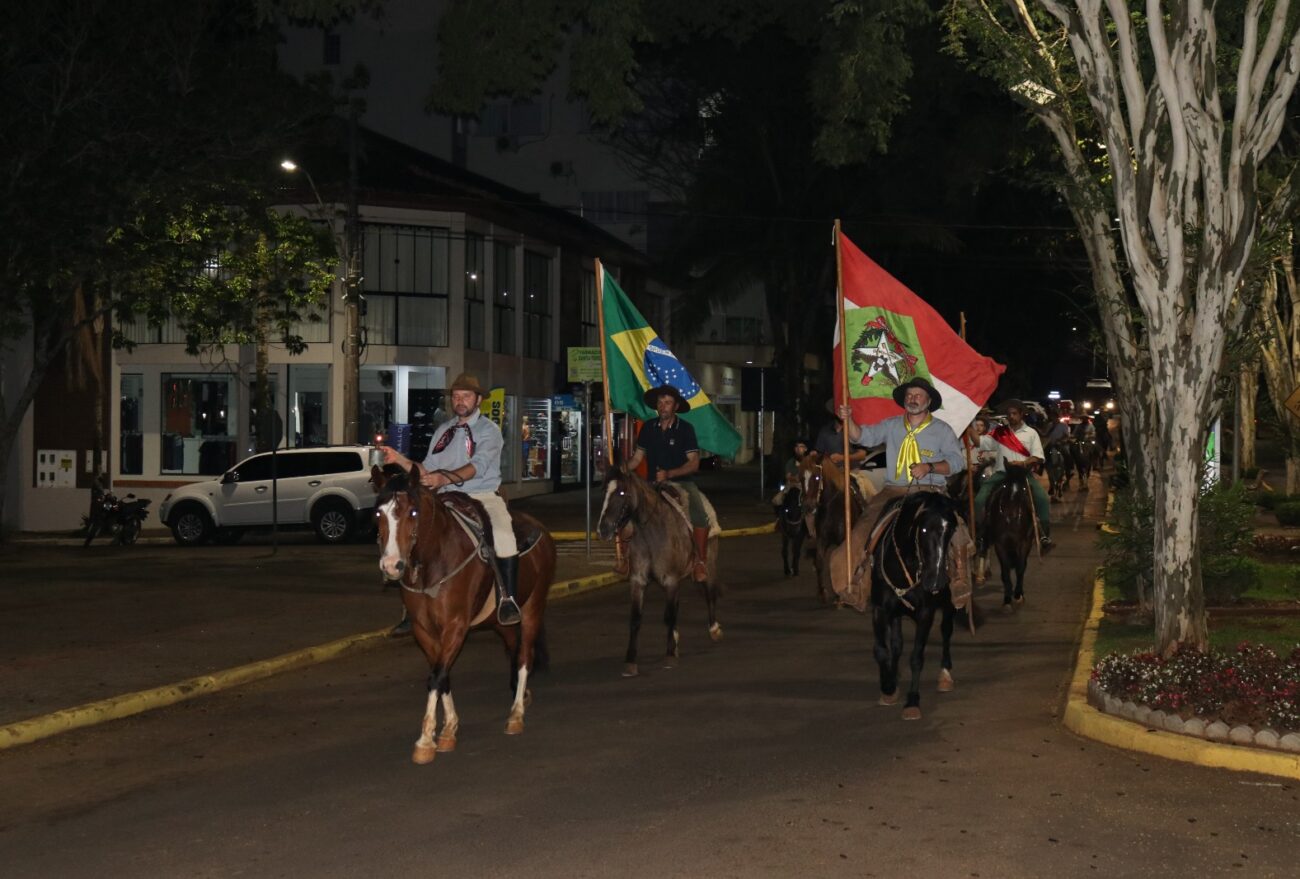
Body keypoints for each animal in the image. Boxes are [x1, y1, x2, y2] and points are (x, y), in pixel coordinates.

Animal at [369, 468, 556, 764]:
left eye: (412, 512)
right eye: (378, 513)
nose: (391, 566)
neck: (432, 563)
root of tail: (542, 530)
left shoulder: (456, 626)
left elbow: (436, 676)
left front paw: (425, 741)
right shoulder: (424, 630)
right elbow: (442, 675)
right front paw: (448, 729)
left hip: (533, 608)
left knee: (525, 656)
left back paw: (516, 715)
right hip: (500, 622)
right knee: (513, 647)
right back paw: (521, 693)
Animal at [595, 462, 722, 676]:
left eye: (621, 492)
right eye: (604, 490)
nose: (603, 529)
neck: (651, 533)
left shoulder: (670, 580)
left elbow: (669, 615)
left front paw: (669, 655)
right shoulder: (638, 581)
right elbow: (636, 619)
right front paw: (631, 661)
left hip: (709, 565)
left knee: (709, 593)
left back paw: (714, 629)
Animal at [800, 452, 863, 603]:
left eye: (817, 477)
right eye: (801, 478)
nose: (808, 506)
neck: (832, 506)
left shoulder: (844, 540)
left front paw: (840, 597)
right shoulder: (822, 539)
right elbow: (819, 561)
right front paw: (822, 592)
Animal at [868, 486, 961, 722]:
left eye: (951, 529)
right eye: (924, 529)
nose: (936, 580)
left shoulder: (925, 613)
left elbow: (916, 657)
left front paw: (912, 702)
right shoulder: (880, 609)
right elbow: (882, 649)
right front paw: (888, 686)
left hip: (948, 604)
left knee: (946, 630)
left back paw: (945, 674)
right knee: (896, 644)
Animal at [982, 462, 1034, 613]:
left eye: (1024, 488)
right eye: (1005, 486)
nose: (1011, 515)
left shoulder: (1024, 543)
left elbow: (1020, 568)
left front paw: (1018, 595)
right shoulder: (1000, 544)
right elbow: (1005, 572)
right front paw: (1007, 599)